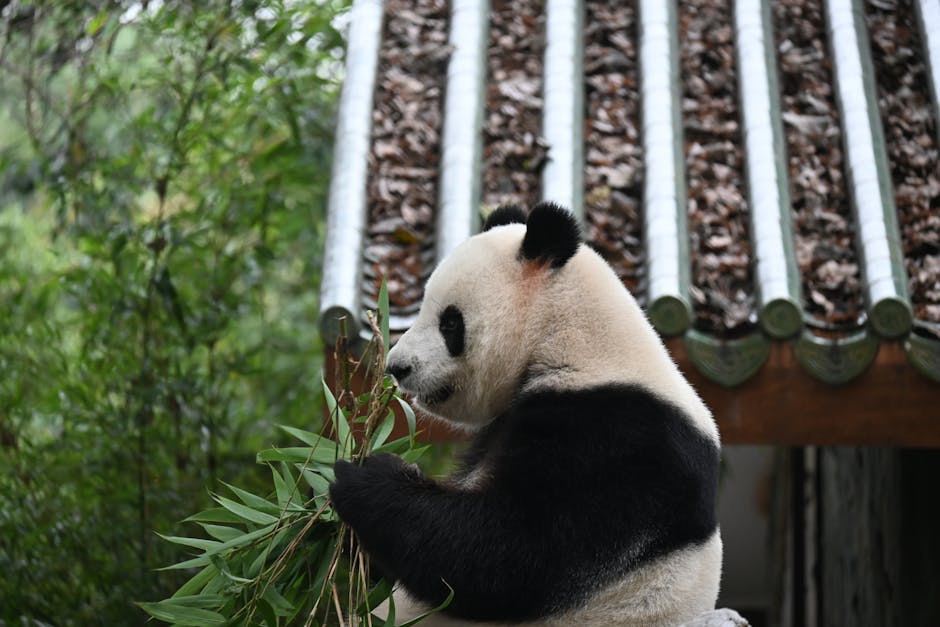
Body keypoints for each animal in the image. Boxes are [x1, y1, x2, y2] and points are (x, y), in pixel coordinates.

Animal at [330, 202, 723, 626]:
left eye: (450, 322)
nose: (398, 367)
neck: (578, 341)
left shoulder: (619, 439)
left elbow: (512, 552)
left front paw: (367, 476)